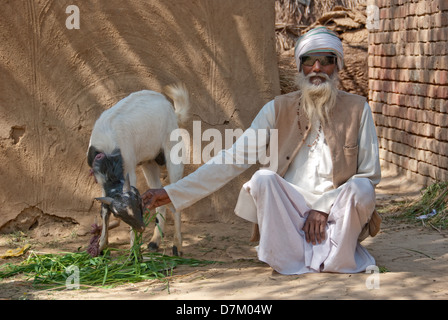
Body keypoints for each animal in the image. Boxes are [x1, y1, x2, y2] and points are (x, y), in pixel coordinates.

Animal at [86, 84, 189, 256]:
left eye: (138, 204)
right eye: (118, 213)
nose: (141, 227)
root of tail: (170, 108)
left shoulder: (129, 169)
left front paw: (134, 251)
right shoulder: (101, 180)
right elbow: (104, 210)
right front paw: (101, 246)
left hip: (173, 151)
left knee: (175, 198)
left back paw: (177, 247)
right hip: (149, 162)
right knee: (159, 192)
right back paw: (155, 242)